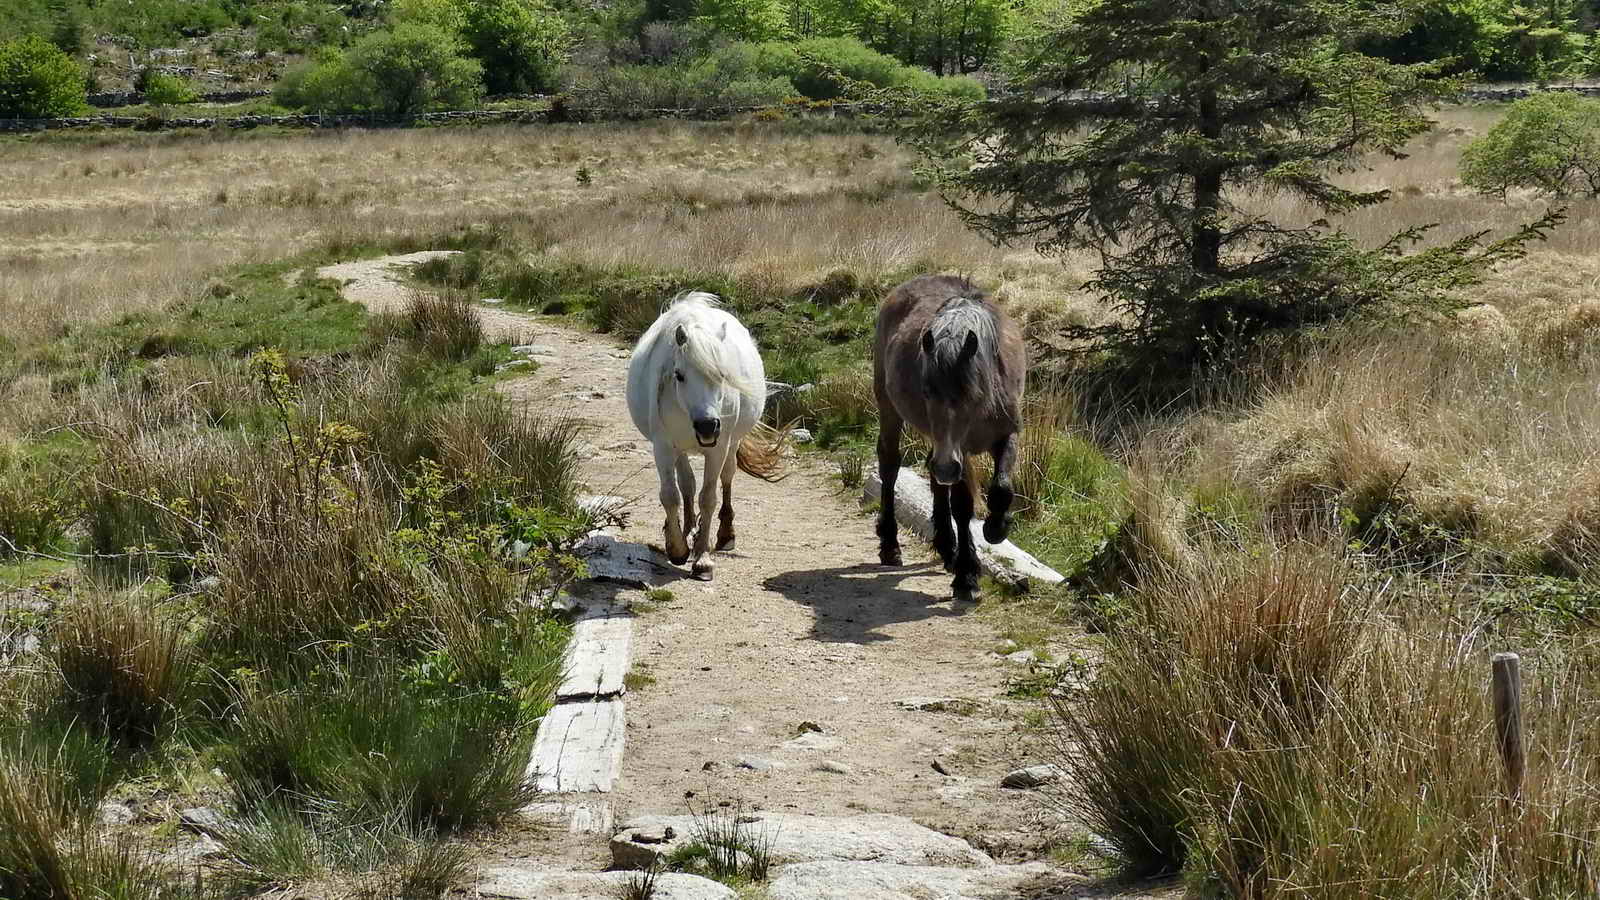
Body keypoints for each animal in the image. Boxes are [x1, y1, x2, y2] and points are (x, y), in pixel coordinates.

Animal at [624, 291, 780, 576]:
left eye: (722, 374)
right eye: (679, 375)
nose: (707, 425)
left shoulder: (718, 448)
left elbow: (708, 497)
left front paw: (703, 558)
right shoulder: (663, 446)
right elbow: (671, 495)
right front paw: (677, 547)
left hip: (731, 443)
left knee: (727, 477)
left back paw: (725, 534)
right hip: (680, 449)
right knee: (686, 485)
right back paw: (686, 530)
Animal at [876, 269, 1024, 598]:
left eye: (969, 393)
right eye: (926, 391)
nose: (947, 468)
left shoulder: (1006, 435)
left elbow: (1002, 487)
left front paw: (996, 528)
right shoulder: (961, 453)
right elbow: (963, 507)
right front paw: (967, 575)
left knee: (935, 479)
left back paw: (946, 546)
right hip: (890, 411)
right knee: (890, 466)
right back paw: (891, 545)